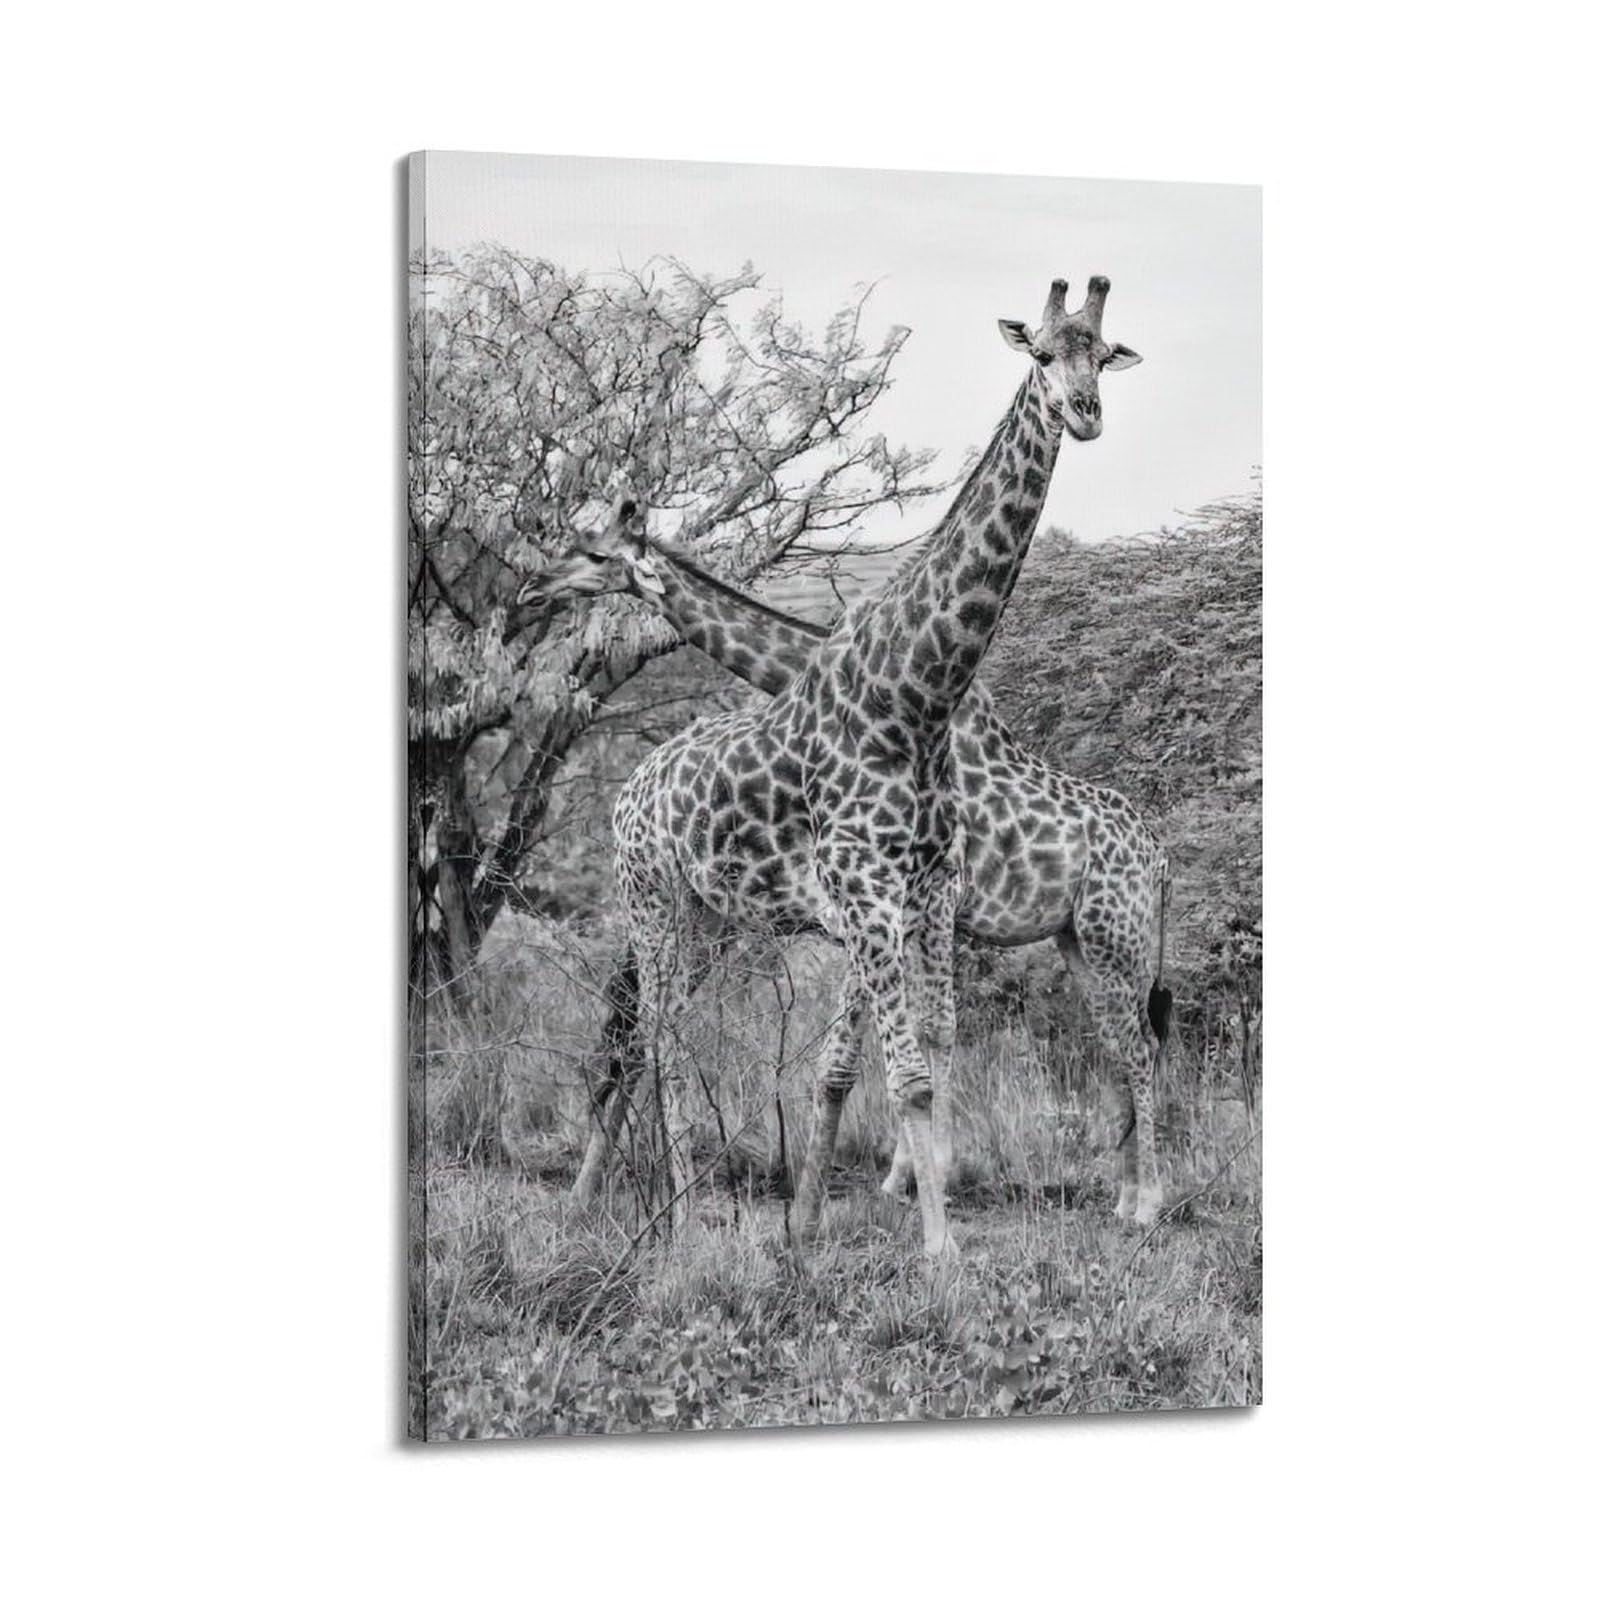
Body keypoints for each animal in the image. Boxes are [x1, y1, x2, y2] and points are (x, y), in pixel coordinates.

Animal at [530, 277, 1143, 1254]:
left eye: (1103, 354)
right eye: (1043, 355)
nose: (1084, 413)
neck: (913, 693)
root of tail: (629, 790)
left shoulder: (914, 898)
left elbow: (902, 1054)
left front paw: (850, 1216)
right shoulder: (865, 901)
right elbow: (883, 1066)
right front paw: (901, 1231)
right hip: (663, 902)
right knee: (651, 1034)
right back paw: (661, 1211)